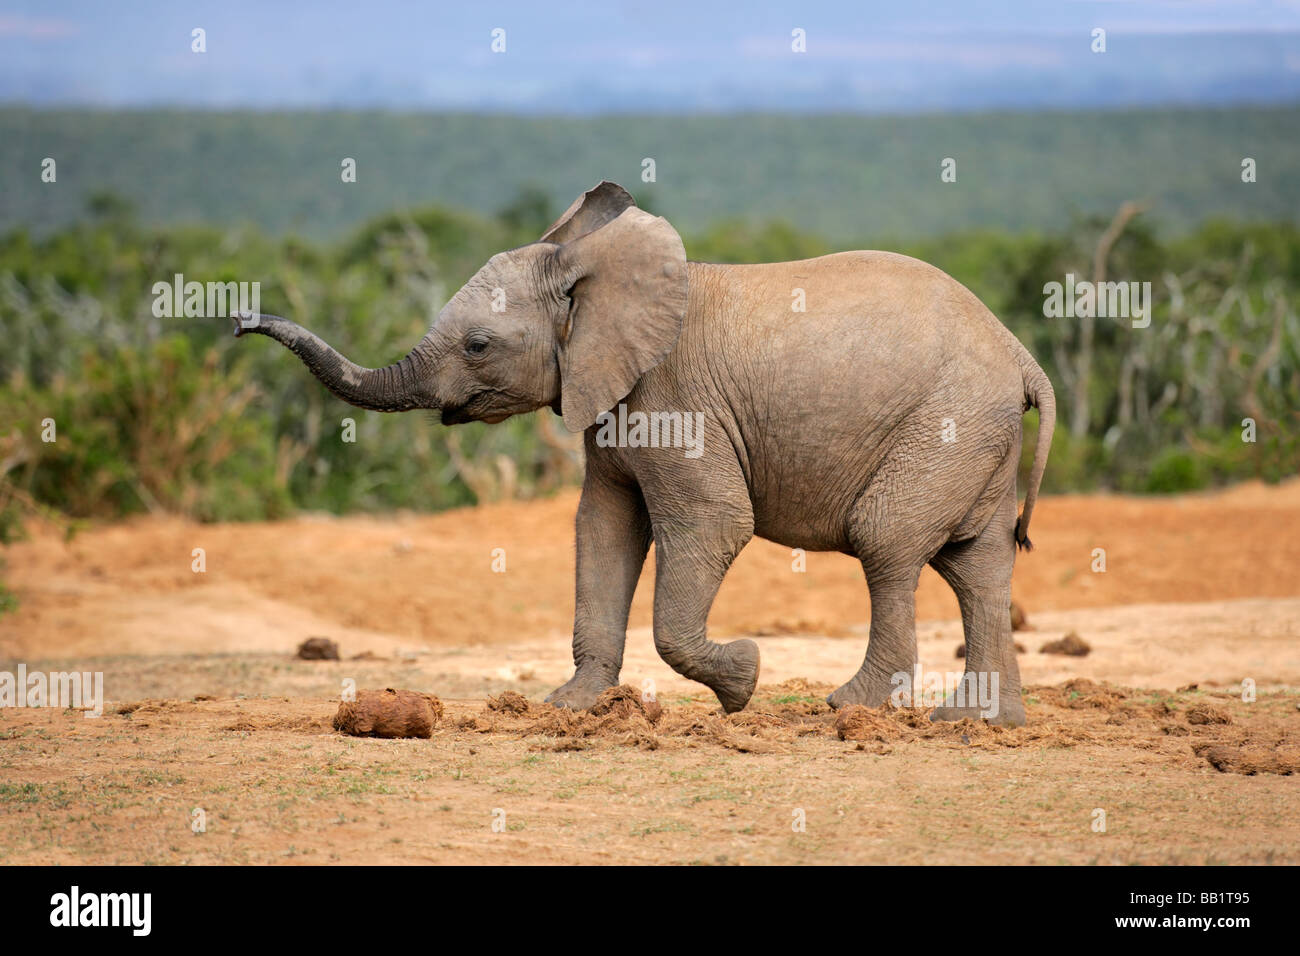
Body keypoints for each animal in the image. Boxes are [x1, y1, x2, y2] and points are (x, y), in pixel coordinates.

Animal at [228, 183, 1050, 723]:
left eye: (478, 345)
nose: (237, 322)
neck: (589, 270)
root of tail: (1020, 354)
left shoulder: (672, 400)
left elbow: (713, 523)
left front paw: (743, 682)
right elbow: (603, 528)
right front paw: (567, 708)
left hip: (945, 425)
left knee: (887, 543)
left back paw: (849, 707)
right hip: (974, 437)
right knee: (975, 565)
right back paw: (978, 725)